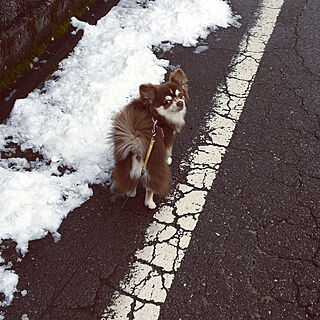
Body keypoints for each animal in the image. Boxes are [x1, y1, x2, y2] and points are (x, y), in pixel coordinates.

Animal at [111, 68, 189, 209]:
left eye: (180, 95)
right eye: (167, 102)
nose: (180, 103)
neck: (157, 116)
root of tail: (136, 148)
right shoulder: (168, 140)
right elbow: (168, 152)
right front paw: (168, 160)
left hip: (126, 168)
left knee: (131, 184)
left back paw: (131, 193)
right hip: (153, 172)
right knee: (149, 190)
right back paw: (150, 203)